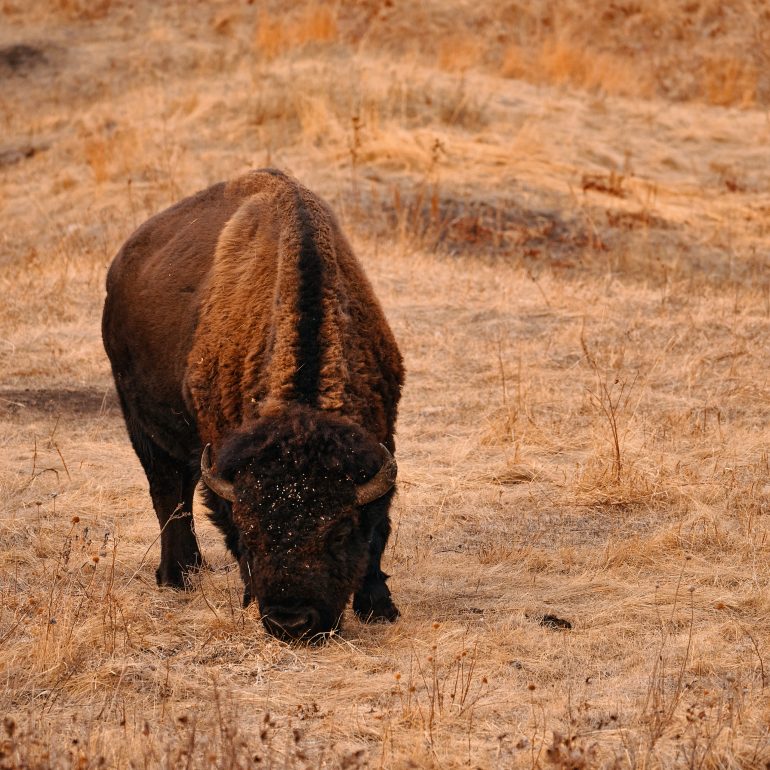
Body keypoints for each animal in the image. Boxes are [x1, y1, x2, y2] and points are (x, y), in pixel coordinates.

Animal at [102, 169, 404, 641]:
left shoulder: (382, 440)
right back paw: (177, 575)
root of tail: (120, 267)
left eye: (337, 532)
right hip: (140, 424)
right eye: (253, 531)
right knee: (168, 493)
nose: (291, 621)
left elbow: (378, 530)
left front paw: (379, 607)